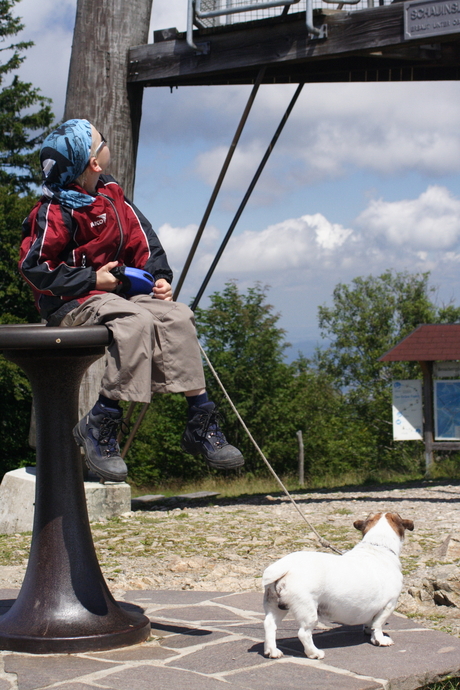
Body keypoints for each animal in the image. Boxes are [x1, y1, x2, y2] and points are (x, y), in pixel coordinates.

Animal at [262, 510, 414, 656]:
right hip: (307, 610)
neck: (378, 546)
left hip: (276, 605)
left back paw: (272, 651)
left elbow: (370, 622)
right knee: (303, 633)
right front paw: (380, 639)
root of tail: (286, 566)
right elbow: (378, 625)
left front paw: (368, 630)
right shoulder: (389, 605)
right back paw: (314, 653)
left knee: (270, 625)